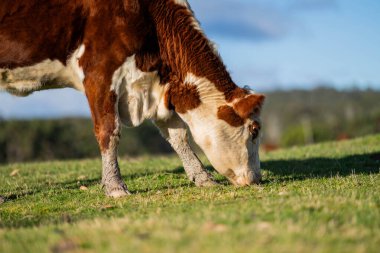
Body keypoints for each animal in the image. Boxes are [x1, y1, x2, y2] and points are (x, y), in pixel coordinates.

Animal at [0, 0, 266, 198]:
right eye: (254, 130)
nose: (256, 179)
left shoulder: (158, 86)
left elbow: (178, 135)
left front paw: (203, 177)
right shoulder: (99, 70)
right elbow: (109, 130)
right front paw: (115, 186)